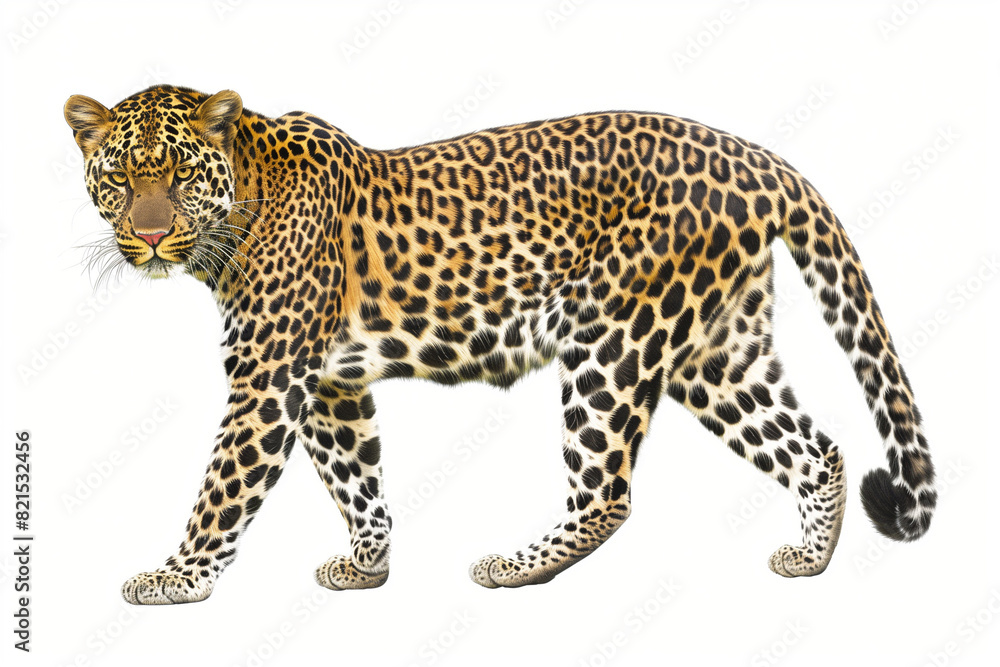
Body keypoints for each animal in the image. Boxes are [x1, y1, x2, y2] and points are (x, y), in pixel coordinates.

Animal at [64, 85, 936, 604]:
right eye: (119, 179)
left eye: (179, 176)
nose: (149, 235)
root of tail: (755, 158)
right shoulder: (333, 384)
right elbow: (357, 475)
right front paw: (368, 566)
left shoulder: (269, 379)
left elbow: (223, 488)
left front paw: (177, 577)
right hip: (715, 352)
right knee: (815, 447)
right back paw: (810, 559)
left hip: (613, 339)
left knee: (607, 492)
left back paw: (515, 565)